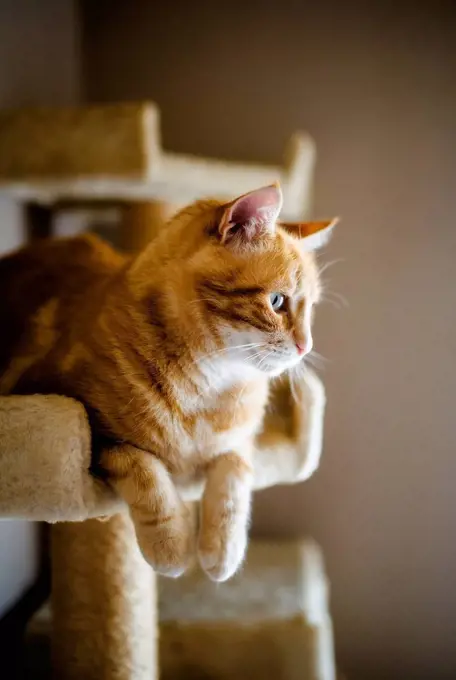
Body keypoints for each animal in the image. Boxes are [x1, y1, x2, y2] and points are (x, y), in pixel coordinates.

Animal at [0, 185, 334, 580]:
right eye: (277, 301)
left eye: (310, 309)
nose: (305, 346)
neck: (207, 387)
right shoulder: (73, 412)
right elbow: (141, 465)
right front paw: (171, 545)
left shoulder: (241, 440)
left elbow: (235, 469)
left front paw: (222, 549)